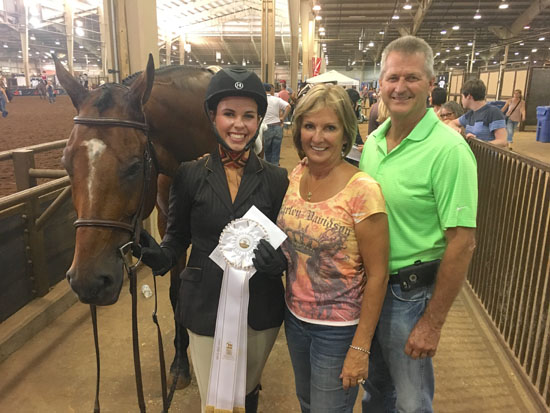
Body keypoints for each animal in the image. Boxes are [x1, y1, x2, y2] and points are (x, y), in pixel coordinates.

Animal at [54, 54, 218, 390]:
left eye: (134, 166)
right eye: (66, 164)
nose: (88, 281)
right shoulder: (170, 224)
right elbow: (175, 292)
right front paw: (180, 362)